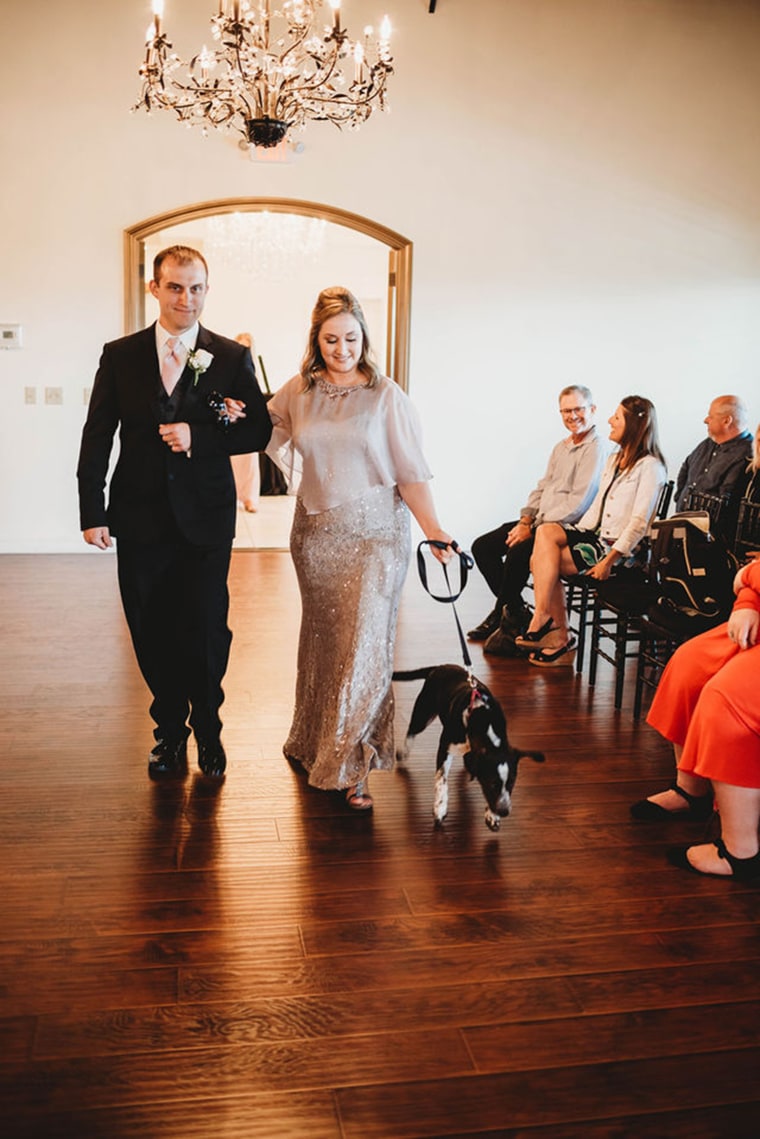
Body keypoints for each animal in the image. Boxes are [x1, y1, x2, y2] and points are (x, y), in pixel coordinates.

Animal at [391, 665, 546, 833]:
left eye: (511, 783)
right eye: (492, 783)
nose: (504, 812)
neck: (483, 718)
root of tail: (440, 666)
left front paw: (492, 816)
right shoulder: (445, 748)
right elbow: (441, 779)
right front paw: (440, 808)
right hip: (424, 712)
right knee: (412, 730)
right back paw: (403, 752)